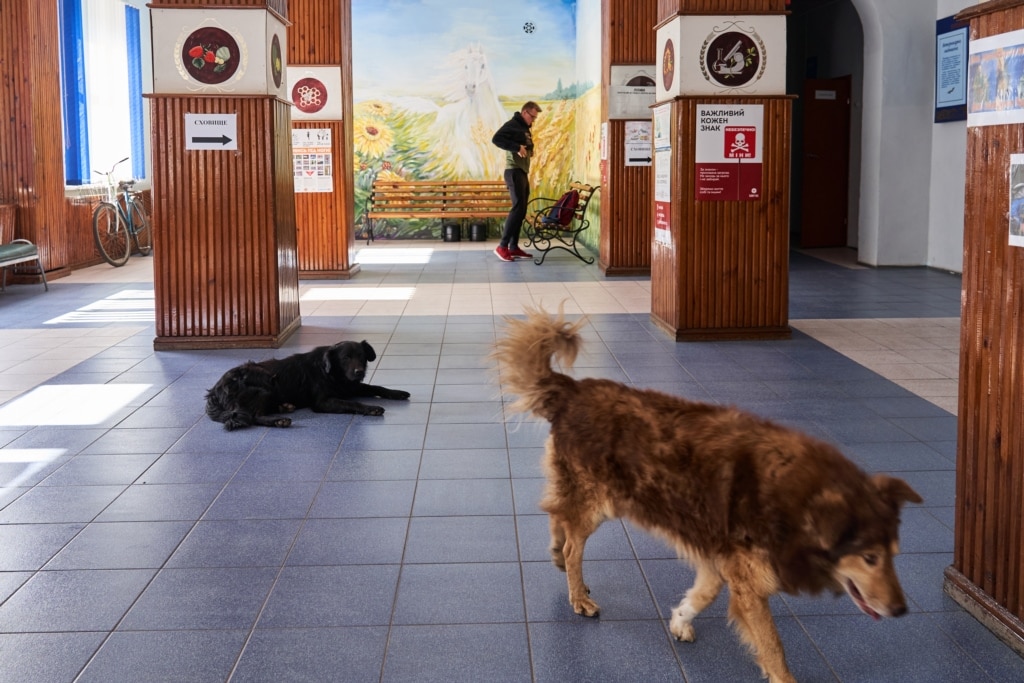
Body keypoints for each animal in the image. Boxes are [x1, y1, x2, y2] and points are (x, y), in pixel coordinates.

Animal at [205, 340, 410, 430]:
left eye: (361, 356)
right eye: (346, 358)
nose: (359, 372)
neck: (330, 372)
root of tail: (214, 391)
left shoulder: (352, 386)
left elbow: (377, 387)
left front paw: (397, 392)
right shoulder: (323, 402)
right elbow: (351, 403)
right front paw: (371, 408)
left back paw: (284, 407)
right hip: (264, 383)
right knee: (253, 416)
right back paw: (279, 420)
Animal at [493, 307, 922, 683]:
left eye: (894, 555)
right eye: (869, 557)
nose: (902, 610)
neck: (795, 502)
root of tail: (573, 388)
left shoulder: (720, 559)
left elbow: (704, 595)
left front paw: (680, 619)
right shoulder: (750, 586)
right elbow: (773, 647)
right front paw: (782, 675)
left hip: (597, 498)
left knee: (558, 515)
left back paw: (560, 559)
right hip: (599, 500)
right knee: (572, 542)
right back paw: (576, 592)